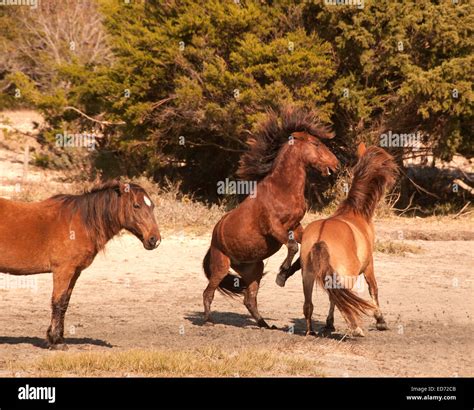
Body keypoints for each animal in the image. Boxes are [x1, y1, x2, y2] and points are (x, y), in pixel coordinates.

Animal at [0, 181, 160, 348]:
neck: (79, 224)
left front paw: (58, 338)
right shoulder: (63, 271)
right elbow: (58, 302)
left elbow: (65, 303)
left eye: (152, 206)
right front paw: (56, 341)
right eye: (136, 205)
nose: (155, 239)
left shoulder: (75, 272)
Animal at [202, 107, 338, 328]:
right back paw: (208, 321)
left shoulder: (295, 226)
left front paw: (282, 276)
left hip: (254, 268)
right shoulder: (274, 228)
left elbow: (301, 247)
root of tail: (214, 239)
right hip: (221, 266)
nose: (336, 164)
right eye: (316, 143)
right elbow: (292, 247)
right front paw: (282, 271)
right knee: (208, 293)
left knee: (249, 298)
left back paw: (264, 324)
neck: (282, 189)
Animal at [298, 143, 398, 336]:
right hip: (346, 276)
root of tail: (320, 239)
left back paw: (310, 331)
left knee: (310, 305)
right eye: (387, 163)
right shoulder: (369, 265)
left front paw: (329, 323)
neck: (355, 212)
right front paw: (380, 320)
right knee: (344, 303)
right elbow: (373, 289)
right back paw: (356, 328)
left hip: (308, 276)